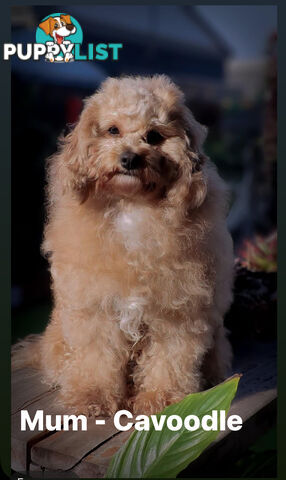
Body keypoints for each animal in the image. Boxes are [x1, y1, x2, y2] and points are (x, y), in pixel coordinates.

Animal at [12, 75, 233, 416]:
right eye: (113, 130)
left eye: (153, 136)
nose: (129, 158)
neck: (132, 206)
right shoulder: (96, 309)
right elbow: (98, 357)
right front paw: (92, 396)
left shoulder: (177, 311)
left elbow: (169, 359)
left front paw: (161, 400)